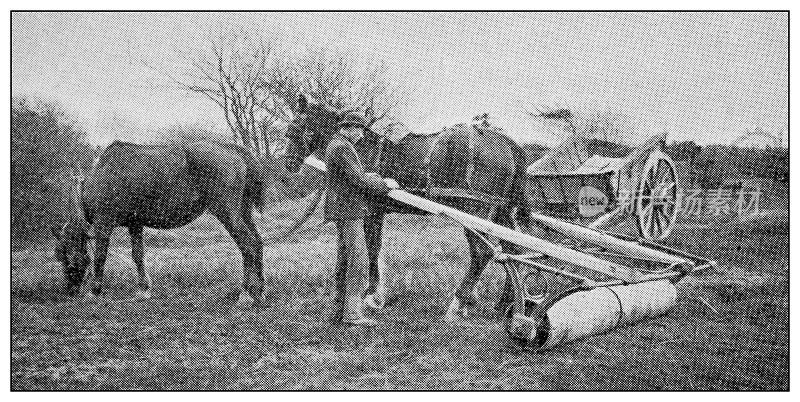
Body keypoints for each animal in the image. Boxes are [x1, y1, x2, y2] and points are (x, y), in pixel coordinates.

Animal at [50, 140, 290, 306]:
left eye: (65, 257)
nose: (70, 291)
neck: (102, 174)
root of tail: (232, 148)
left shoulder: (104, 224)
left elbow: (100, 257)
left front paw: (94, 291)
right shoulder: (135, 224)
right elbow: (138, 255)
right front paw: (143, 289)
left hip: (227, 212)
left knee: (248, 245)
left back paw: (245, 294)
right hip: (243, 210)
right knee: (257, 243)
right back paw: (260, 290)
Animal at [282, 95, 532, 320]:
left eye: (297, 127)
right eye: (288, 129)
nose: (290, 163)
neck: (362, 147)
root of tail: (507, 143)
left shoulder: (372, 212)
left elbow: (373, 249)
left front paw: (371, 296)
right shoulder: (378, 212)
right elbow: (373, 249)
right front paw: (374, 294)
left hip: (474, 210)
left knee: (483, 253)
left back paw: (458, 303)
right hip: (499, 212)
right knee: (513, 250)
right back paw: (505, 303)